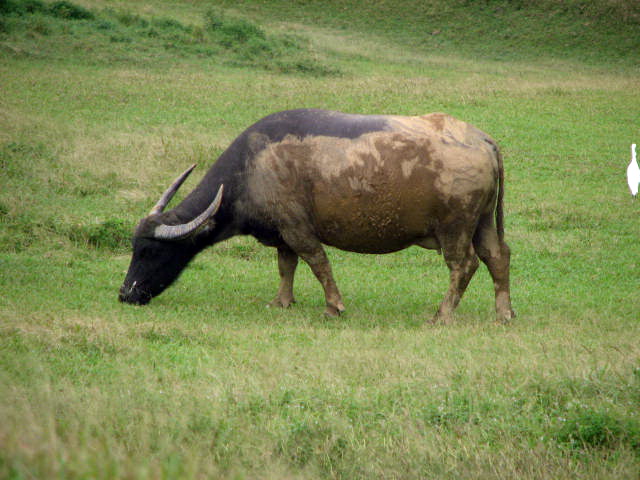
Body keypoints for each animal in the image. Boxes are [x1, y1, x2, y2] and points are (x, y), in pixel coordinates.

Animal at [120, 109, 516, 322]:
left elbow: (317, 262)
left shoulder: (298, 228)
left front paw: (333, 306)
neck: (251, 168)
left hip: (455, 228)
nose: (126, 294)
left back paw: (442, 315)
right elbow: (286, 266)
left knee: (464, 264)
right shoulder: (282, 233)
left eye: (150, 251)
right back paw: (504, 313)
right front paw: (282, 301)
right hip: (482, 222)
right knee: (497, 256)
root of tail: (481, 140)